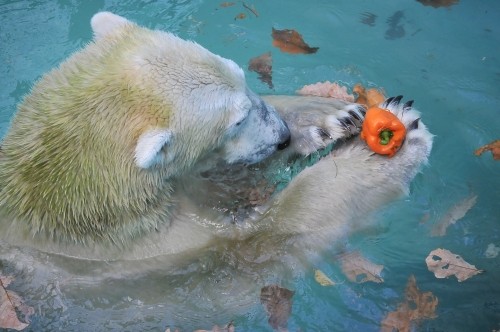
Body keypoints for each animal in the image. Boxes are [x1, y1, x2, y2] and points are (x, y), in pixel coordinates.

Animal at [0, 12, 434, 264]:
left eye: (242, 75)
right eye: (236, 121)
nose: (281, 135)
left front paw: (330, 119)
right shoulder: (155, 242)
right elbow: (271, 231)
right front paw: (396, 142)